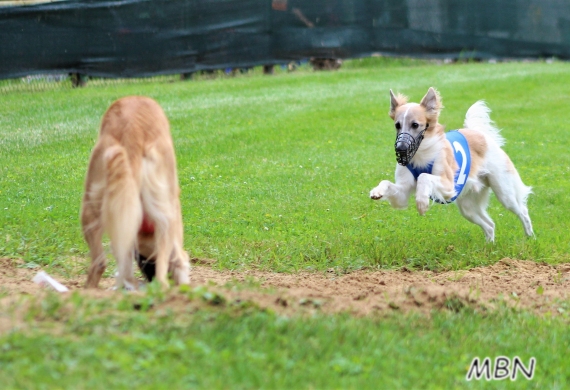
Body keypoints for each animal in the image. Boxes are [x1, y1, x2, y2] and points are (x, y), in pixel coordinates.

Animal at [368, 87, 532, 241]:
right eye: (397, 125)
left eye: (415, 124)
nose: (400, 149)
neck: (421, 155)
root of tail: (480, 134)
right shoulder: (402, 192)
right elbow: (387, 182)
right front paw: (377, 191)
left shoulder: (448, 184)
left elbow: (423, 176)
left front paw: (422, 202)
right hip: (468, 207)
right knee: (490, 225)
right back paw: (490, 246)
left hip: (504, 192)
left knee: (522, 211)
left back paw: (530, 236)